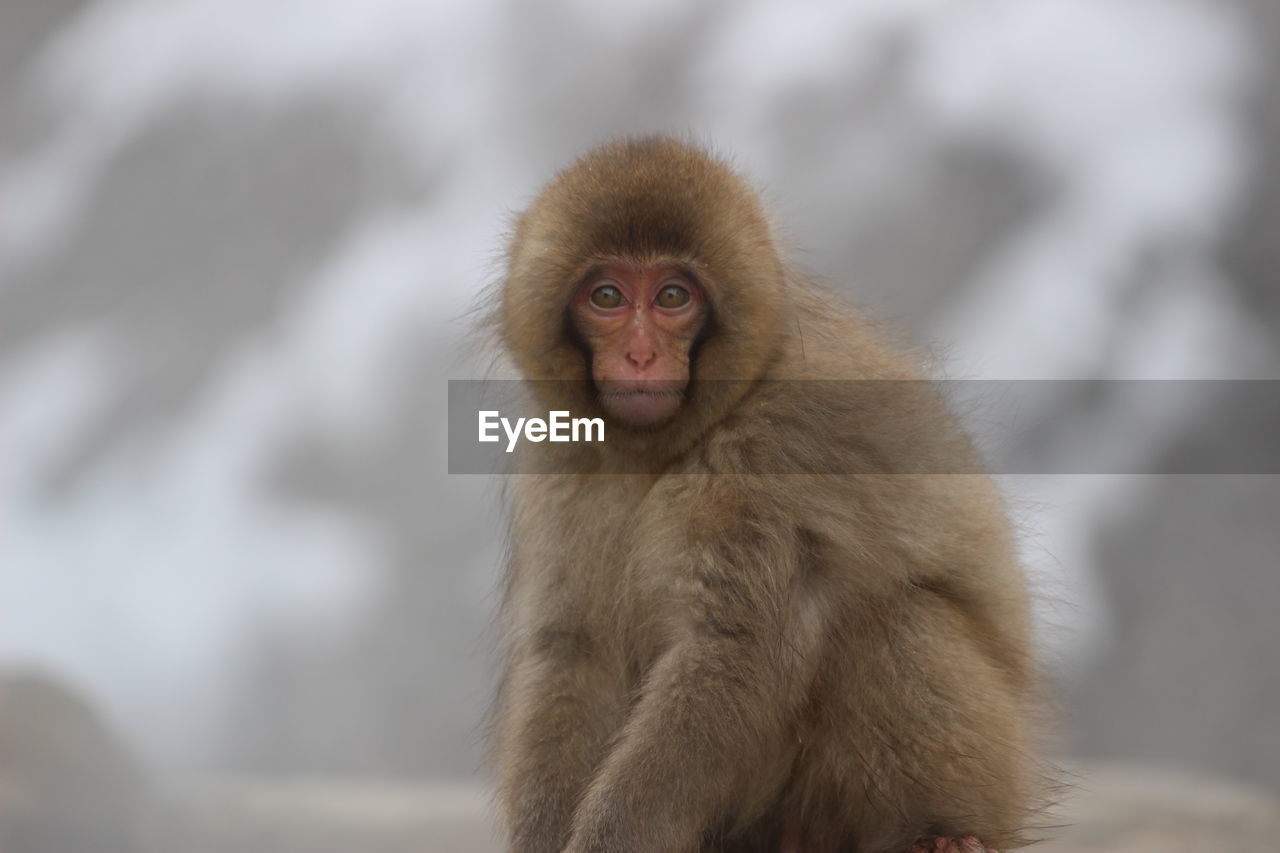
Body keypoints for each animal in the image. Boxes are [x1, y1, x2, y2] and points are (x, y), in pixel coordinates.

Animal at [483, 136, 1044, 845]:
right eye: (606, 296)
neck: (666, 446)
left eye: (672, 296)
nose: (640, 355)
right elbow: (573, 651)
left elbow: (735, 650)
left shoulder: (768, 452)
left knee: (896, 620)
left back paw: (937, 833)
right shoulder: (562, 453)